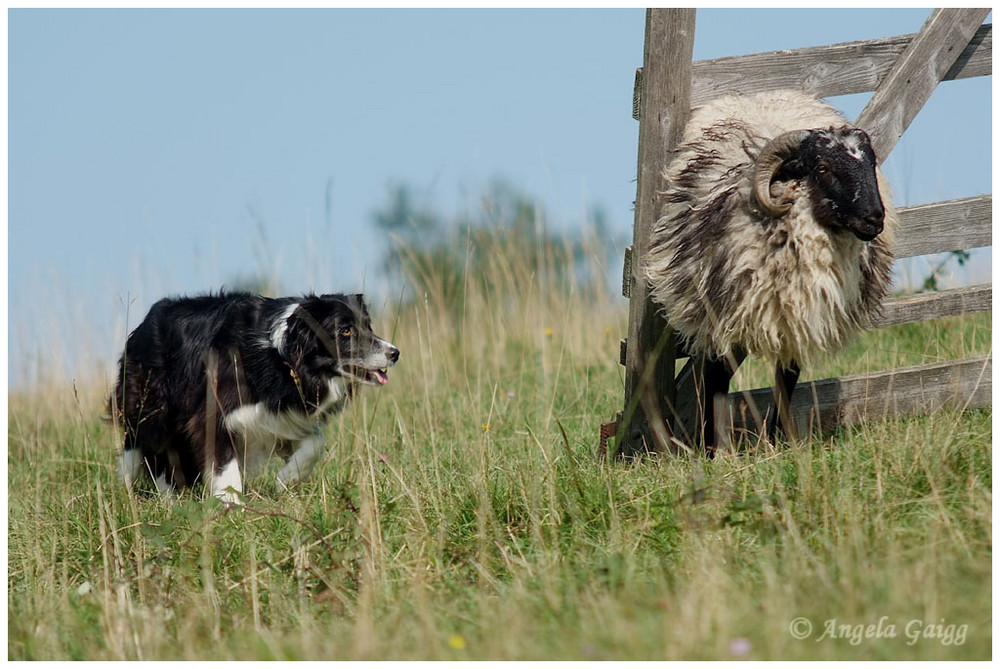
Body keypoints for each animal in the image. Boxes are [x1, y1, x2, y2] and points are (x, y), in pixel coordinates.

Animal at [111, 290, 400, 504]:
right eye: (346, 331)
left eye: (368, 326)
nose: (395, 353)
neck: (281, 356)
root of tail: (142, 326)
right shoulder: (213, 409)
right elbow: (225, 466)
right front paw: (232, 509)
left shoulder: (280, 415)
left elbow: (316, 442)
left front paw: (286, 479)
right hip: (150, 404)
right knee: (144, 445)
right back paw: (151, 495)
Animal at [648, 88, 900, 452]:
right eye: (822, 167)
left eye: (870, 163)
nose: (874, 218)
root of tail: (755, 94)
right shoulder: (723, 313)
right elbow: (717, 380)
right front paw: (716, 450)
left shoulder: (796, 318)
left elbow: (787, 380)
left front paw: (785, 441)